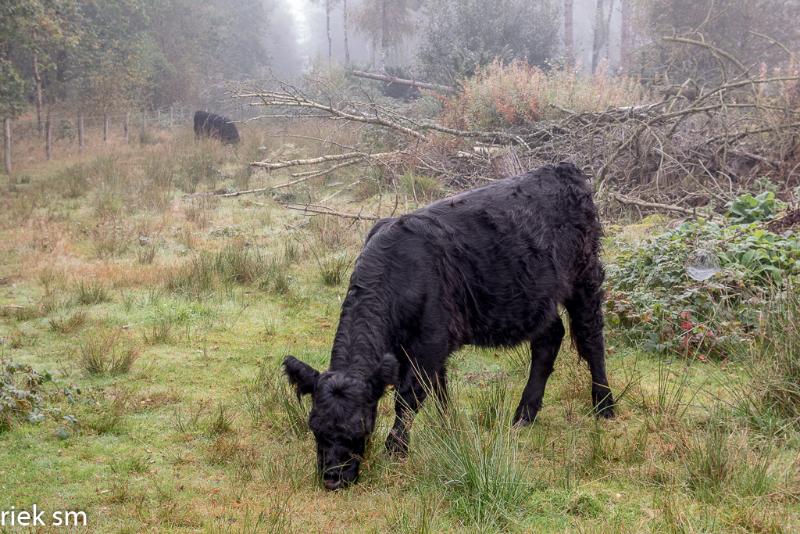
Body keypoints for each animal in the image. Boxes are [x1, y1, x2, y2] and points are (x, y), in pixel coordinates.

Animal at [284, 163, 616, 490]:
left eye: (361, 428)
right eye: (315, 427)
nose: (332, 479)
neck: (401, 272)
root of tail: (561, 168)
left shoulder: (430, 341)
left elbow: (410, 396)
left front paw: (396, 449)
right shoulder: (422, 347)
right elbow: (440, 389)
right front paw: (448, 428)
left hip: (585, 276)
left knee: (592, 339)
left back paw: (604, 407)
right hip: (539, 298)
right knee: (548, 340)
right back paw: (524, 415)